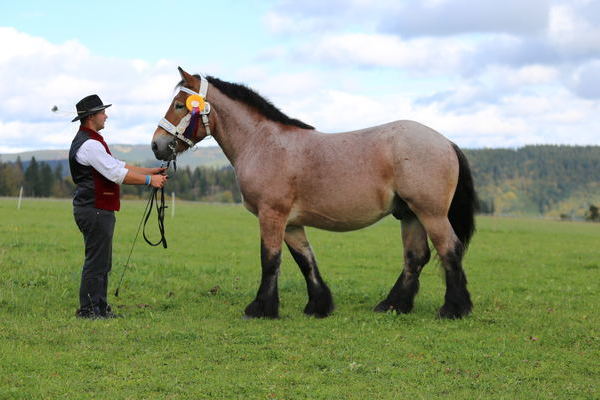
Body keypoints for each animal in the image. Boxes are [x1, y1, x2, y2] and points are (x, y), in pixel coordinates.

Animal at [151, 67, 478, 320]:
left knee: (449, 249)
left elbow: (270, 259)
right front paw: (318, 305)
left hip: (430, 213)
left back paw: (453, 309)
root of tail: (446, 141)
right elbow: (305, 260)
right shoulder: (292, 222)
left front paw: (260, 308)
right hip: (409, 214)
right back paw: (393, 305)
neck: (262, 143)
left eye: (179, 105)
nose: (157, 145)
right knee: (416, 257)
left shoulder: (272, 215)